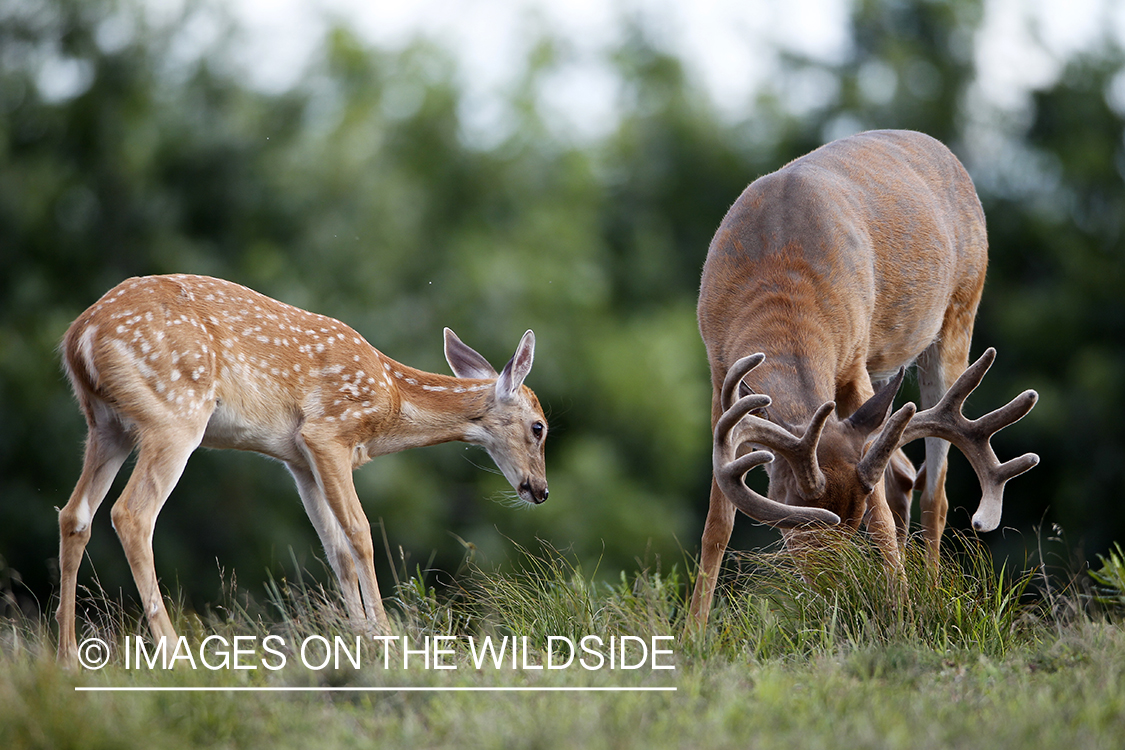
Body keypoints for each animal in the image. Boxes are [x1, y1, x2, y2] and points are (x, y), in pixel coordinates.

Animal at [55, 273, 548, 665]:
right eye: (539, 427)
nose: (539, 490)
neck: (390, 402)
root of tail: (79, 336)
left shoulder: (298, 460)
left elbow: (337, 551)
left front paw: (361, 639)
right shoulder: (328, 431)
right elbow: (360, 534)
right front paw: (386, 639)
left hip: (106, 425)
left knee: (74, 514)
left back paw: (68, 660)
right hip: (175, 414)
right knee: (131, 514)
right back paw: (176, 655)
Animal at [687, 129, 1040, 629]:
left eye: (849, 522)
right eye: (796, 524)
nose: (834, 591)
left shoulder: (854, 361)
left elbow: (882, 515)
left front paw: (902, 608)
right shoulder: (719, 375)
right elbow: (718, 523)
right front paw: (693, 632)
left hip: (959, 312)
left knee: (934, 489)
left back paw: (928, 593)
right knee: (904, 471)